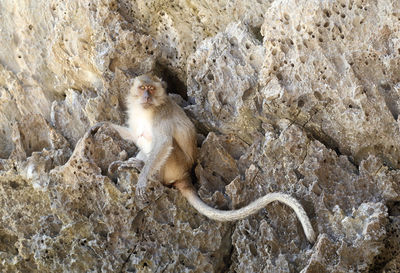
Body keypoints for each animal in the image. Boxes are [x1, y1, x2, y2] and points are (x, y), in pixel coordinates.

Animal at [105, 73, 316, 242]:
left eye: (151, 88)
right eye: (142, 88)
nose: (146, 96)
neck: (147, 110)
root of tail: (184, 176)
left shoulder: (160, 115)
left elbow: (163, 142)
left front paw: (142, 177)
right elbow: (134, 135)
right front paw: (104, 126)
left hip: (174, 165)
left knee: (165, 146)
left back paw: (147, 173)